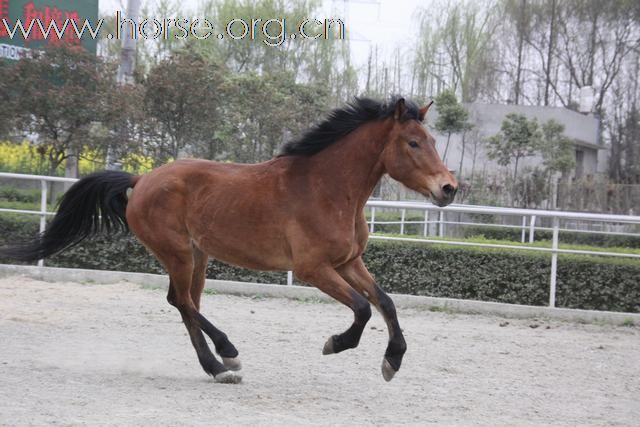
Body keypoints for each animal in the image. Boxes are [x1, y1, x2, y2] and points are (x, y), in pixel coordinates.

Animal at [2, 97, 458, 384]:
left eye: (434, 141)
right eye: (413, 142)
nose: (449, 188)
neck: (326, 189)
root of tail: (142, 179)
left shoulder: (348, 263)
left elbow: (386, 302)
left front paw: (392, 361)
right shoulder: (313, 270)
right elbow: (363, 309)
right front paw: (335, 344)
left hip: (197, 256)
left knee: (184, 303)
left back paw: (220, 363)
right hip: (178, 252)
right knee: (182, 302)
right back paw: (225, 357)